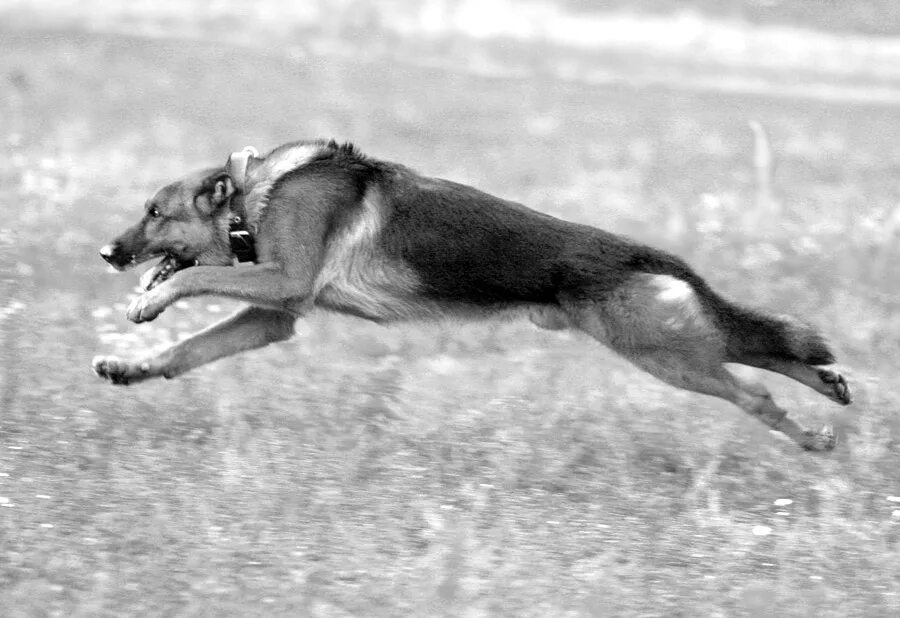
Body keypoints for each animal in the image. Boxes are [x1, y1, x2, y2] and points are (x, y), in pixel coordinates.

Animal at [91, 138, 852, 448]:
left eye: (154, 212)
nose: (106, 253)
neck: (253, 195)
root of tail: (641, 253)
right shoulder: (273, 315)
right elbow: (188, 350)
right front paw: (129, 367)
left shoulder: (281, 283)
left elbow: (191, 279)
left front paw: (146, 306)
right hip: (667, 342)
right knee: (766, 348)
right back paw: (829, 387)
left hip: (660, 353)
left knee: (753, 388)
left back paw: (810, 437)